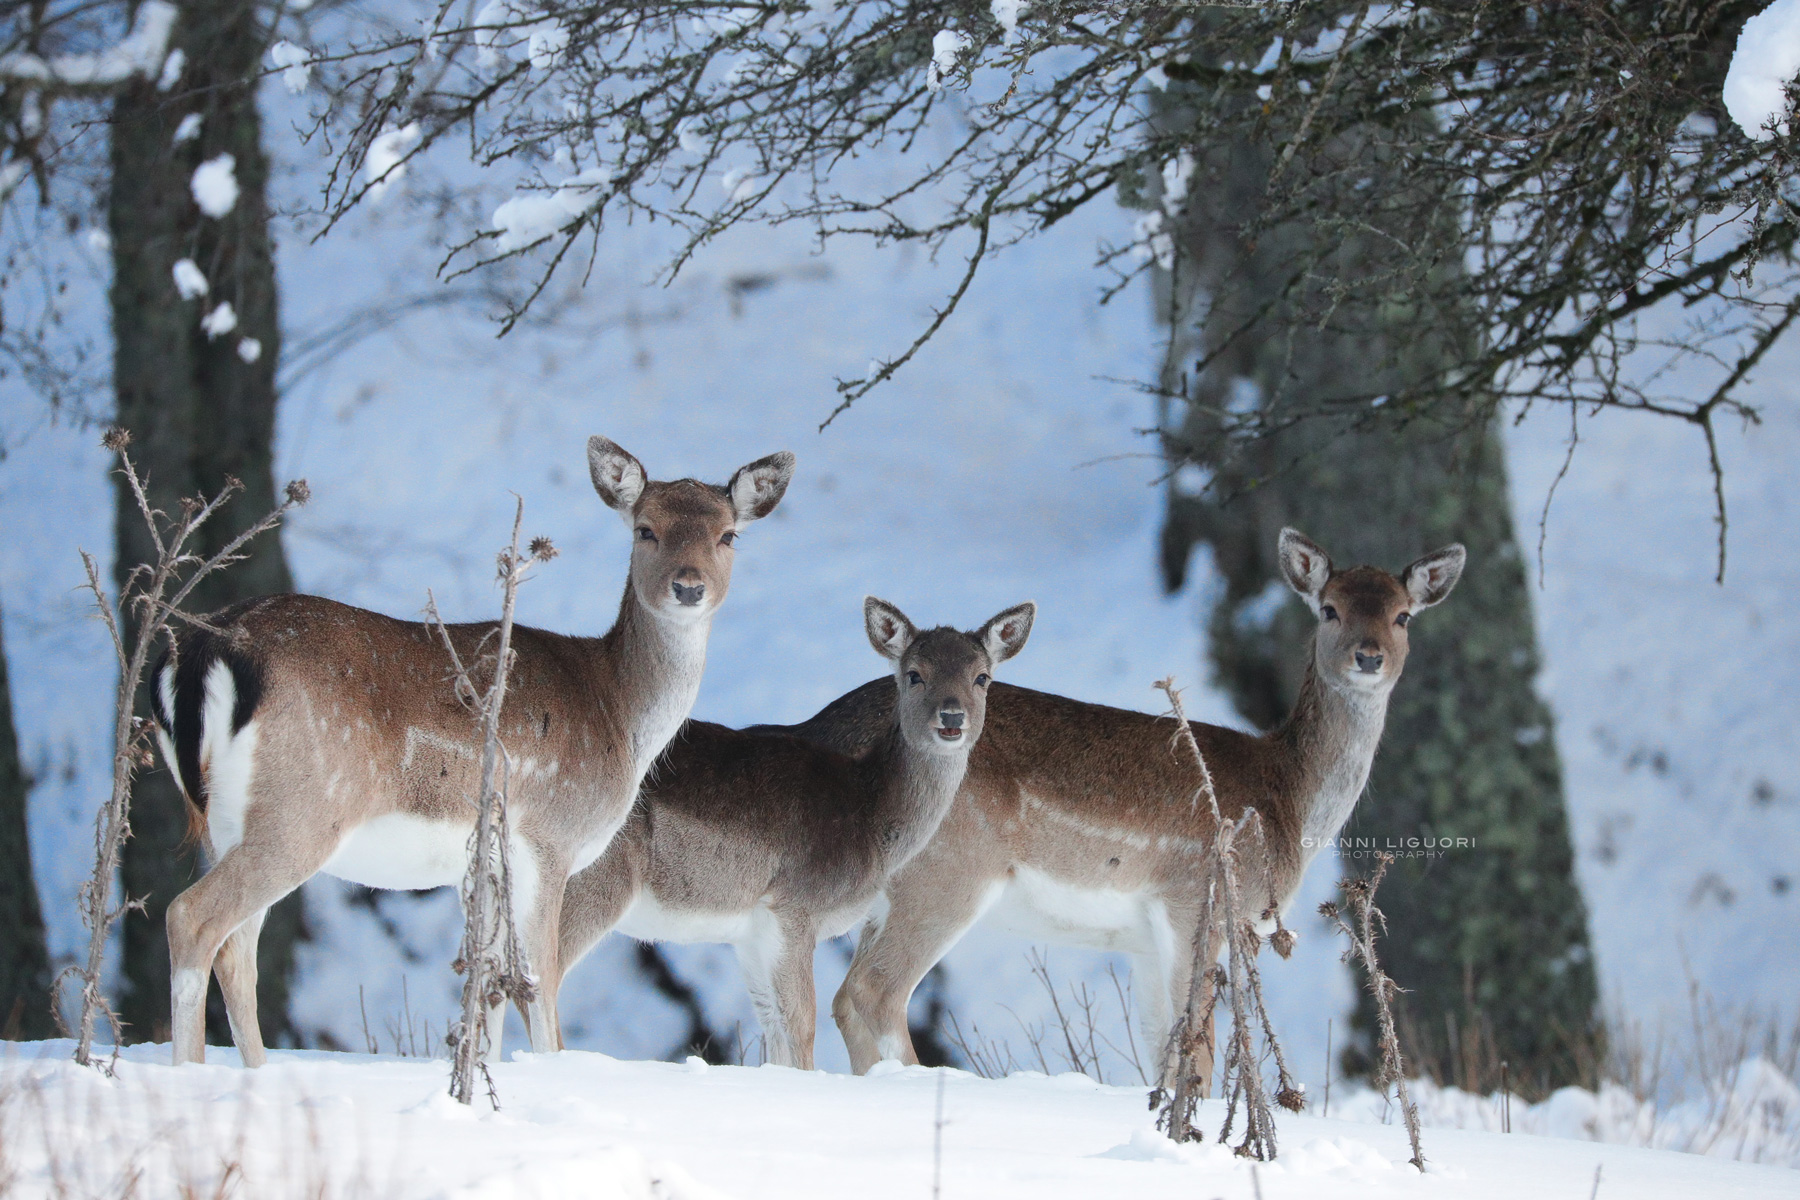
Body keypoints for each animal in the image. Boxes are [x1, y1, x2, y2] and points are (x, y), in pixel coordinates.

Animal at [149, 436, 795, 1066]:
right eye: (645, 529)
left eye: (728, 535)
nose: (688, 587)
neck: (620, 715)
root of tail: (203, 651)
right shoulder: (548, 838)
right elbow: (537, 980)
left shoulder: (486, 866)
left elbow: (489, 985)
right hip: (301, 810)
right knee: (191, 918)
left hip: (227, 823)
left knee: (236, 949)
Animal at [550, 597, 1035, 1069]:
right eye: (914, 673)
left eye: (982, 677)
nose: (951, 718)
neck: (870, 816)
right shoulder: (794, 907)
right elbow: (802, 1024)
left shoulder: (750, 933)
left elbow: (774, 1029)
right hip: (596, 882)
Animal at [780, 528, 1463, 1084]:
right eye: (1329, 608)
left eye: (1403, 616)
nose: (1369, 656)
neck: (1287, 801)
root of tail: (820, 729)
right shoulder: (1198, 900)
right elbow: (1198, 1055)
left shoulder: (1144, 942)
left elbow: (1163, 1051)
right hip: (945, 873)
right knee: (869, 993)